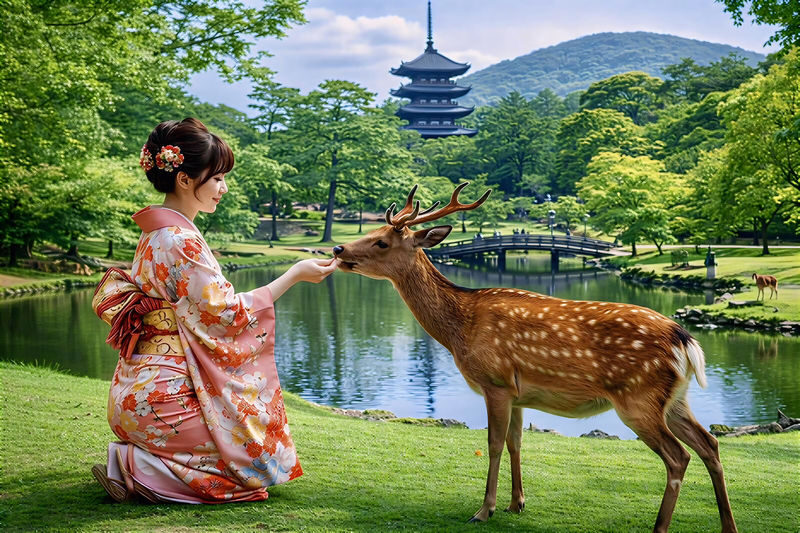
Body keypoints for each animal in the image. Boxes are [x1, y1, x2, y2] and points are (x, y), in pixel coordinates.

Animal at [332, 183, 737, 533]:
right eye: (374, 231)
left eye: (381, 241)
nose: (337, 249)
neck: (460, 329)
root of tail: (685, 340)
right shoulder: (519, 393)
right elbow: (517, 442)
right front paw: (517, 503)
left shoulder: (495, 381)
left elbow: (493, 444)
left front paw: (484, 509)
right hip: (674, 398)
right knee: (709, 444)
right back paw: (728, 526)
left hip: (638, 397)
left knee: (678, 456)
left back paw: (660, 526)